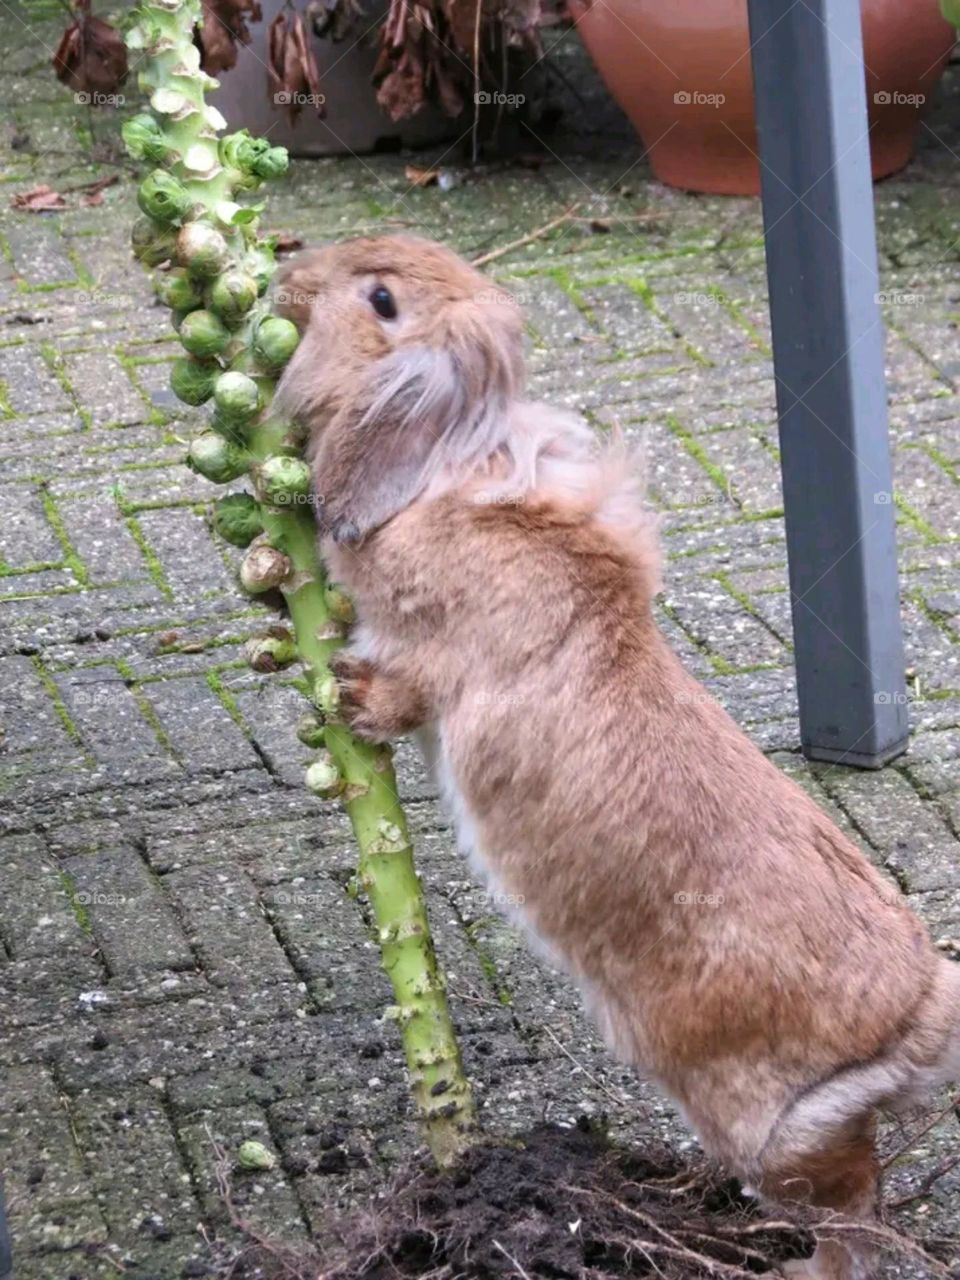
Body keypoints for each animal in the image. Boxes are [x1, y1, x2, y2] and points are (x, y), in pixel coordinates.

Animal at [274, 234, 960, 1280]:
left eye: (381, 300)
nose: (289, 273)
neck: (444, 472)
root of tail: (920, 1018)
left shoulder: (439, 661)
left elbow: (405, 686)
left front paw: (347, 697)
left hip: (765, 1124)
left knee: (851, 1213)